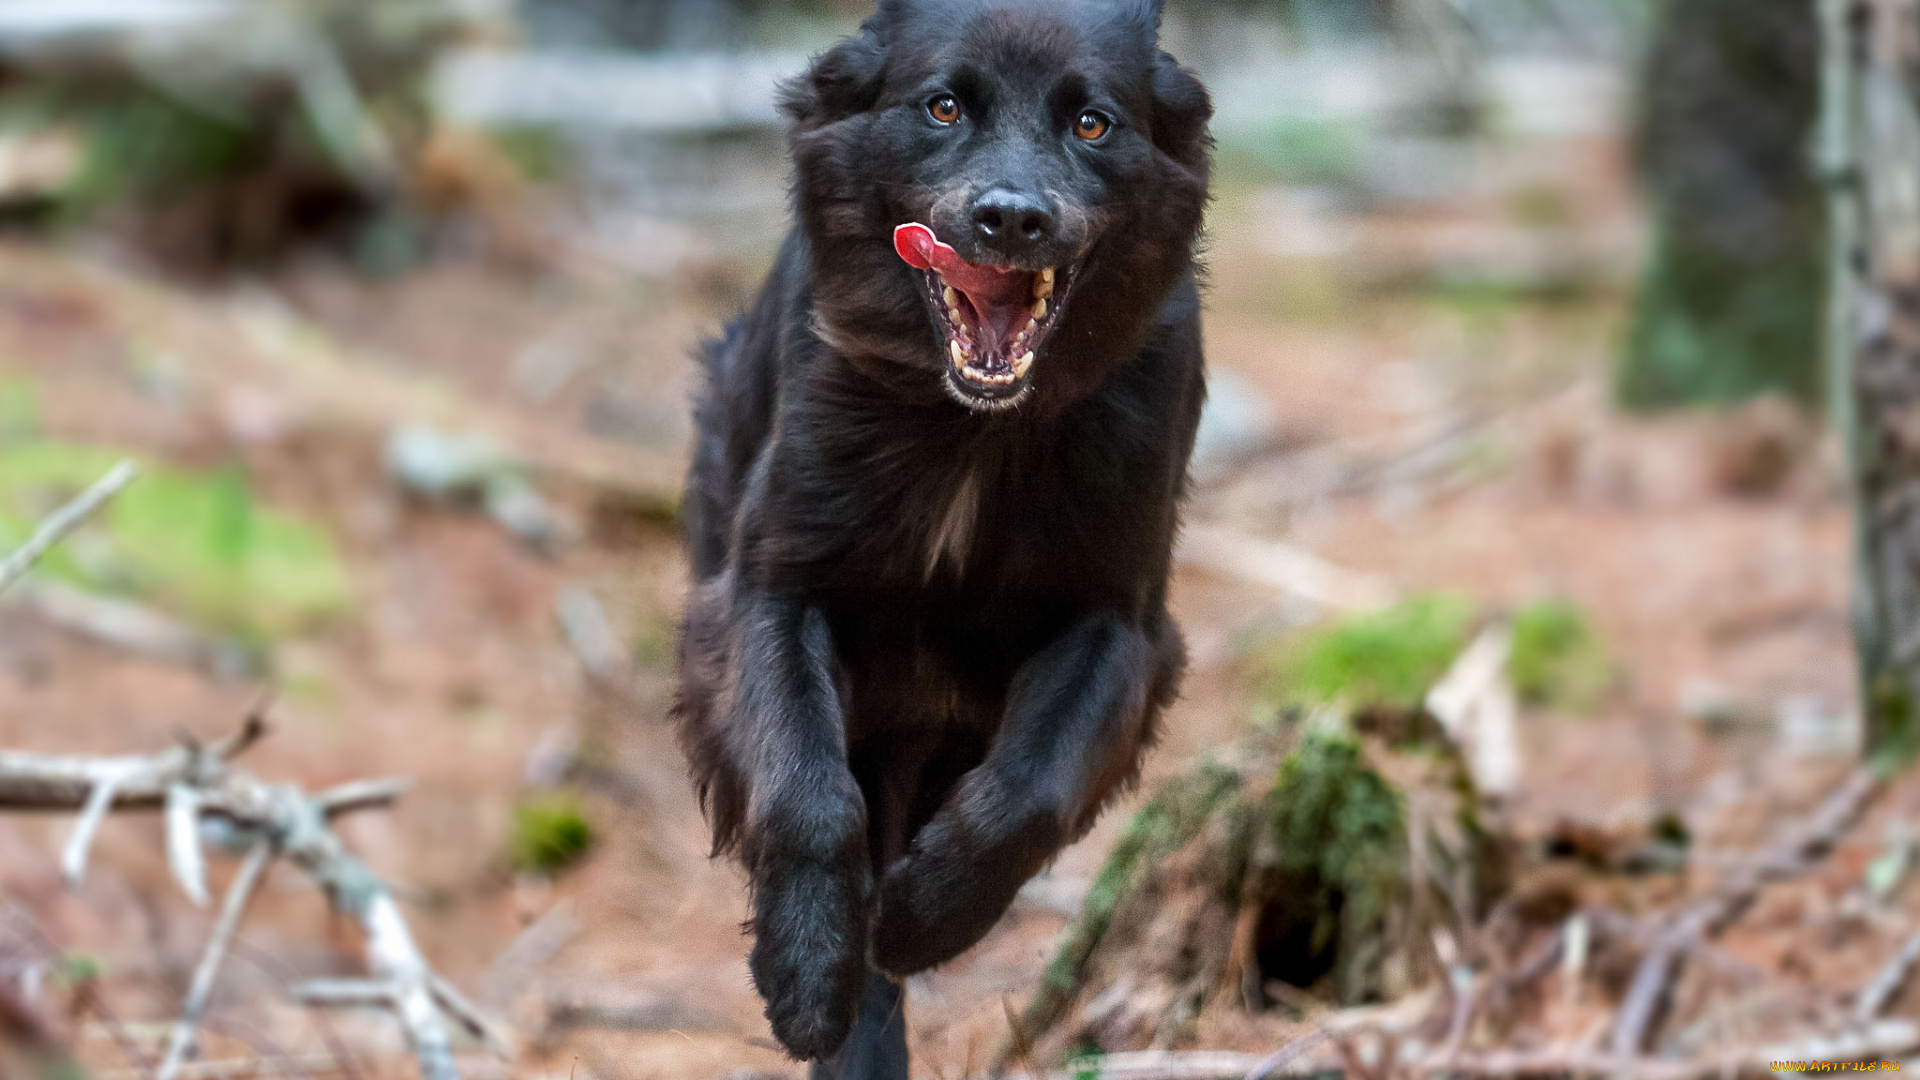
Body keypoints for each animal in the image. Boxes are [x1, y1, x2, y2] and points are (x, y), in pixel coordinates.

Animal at [683, 4, 1205, 1068]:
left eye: (1092, 123)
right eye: (944, 107)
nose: (1011, 218)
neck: (973, 428)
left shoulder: (1119, 621)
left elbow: (1029, 789)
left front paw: (924, 916)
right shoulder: (771, 587)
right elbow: (807, 794)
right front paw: (807, 977)